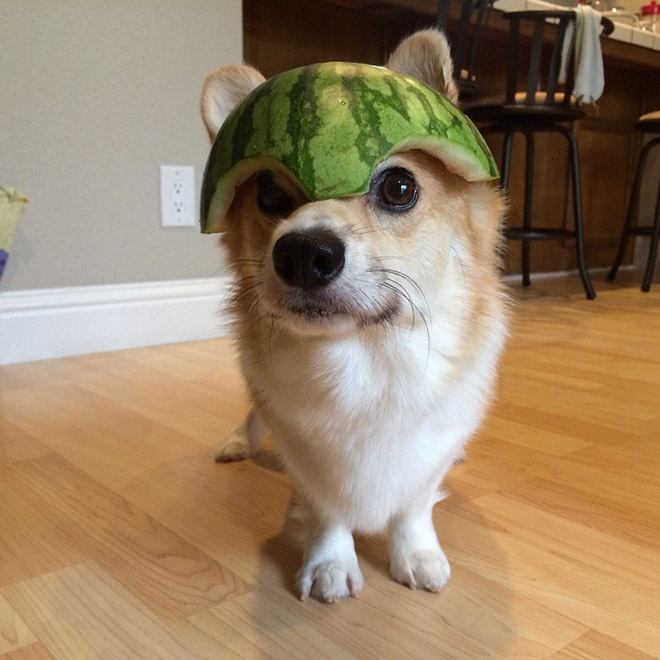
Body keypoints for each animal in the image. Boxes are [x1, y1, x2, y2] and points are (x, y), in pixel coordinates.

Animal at [199, 31, 508, 604]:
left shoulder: (427, 451)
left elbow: (414, 504)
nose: (303, 253)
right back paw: (238, 442)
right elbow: (326, 510)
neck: (367, 360)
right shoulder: (303, 452)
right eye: (268, 193)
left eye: (399, 187)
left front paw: (416, 556)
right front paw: (330, 565)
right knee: (253, 414)